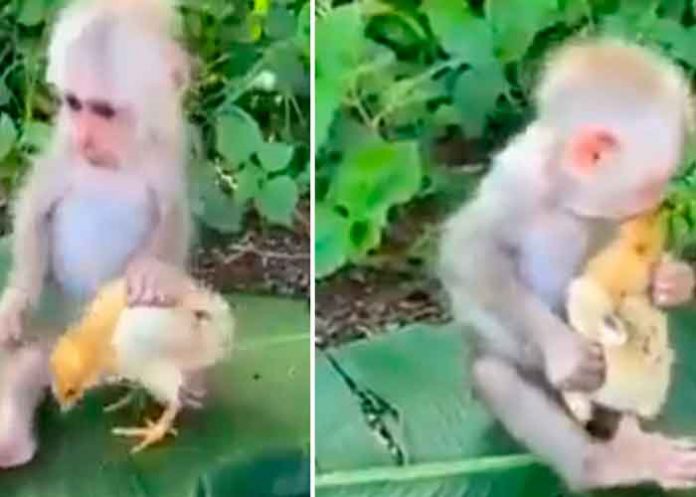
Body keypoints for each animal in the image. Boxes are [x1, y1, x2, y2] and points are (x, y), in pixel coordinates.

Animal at [0, 0, 192, 467]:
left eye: (103, 110)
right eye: (75, 103)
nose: (86, 134)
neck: (112, 161)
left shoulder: (163, 153)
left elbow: (173, 219)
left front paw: (151, 272)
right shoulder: (65, 151)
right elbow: (34, 211)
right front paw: (18, 298)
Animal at [439, 38, 696, 491]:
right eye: (651, 185)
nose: (659, 202)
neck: (562, 189)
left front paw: (672, 280)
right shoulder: (515, 183)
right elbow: (469, 251)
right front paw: (564, 349)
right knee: (496, 376)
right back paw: (605, 464)